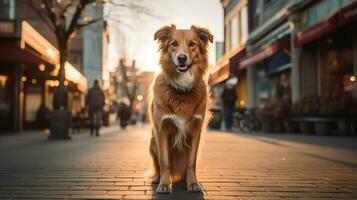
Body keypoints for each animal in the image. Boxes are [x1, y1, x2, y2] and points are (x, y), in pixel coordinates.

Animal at [147, 24, 211, 193]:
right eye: (173, 44)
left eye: (192, 44)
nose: (181, 58)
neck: (182, 88)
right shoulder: (162, 130)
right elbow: (164, 162)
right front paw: (164, 184)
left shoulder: (196, 131)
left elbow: (191, 162)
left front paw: (193, 183)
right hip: (152, 143)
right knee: (157, 165)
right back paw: (157, 178)